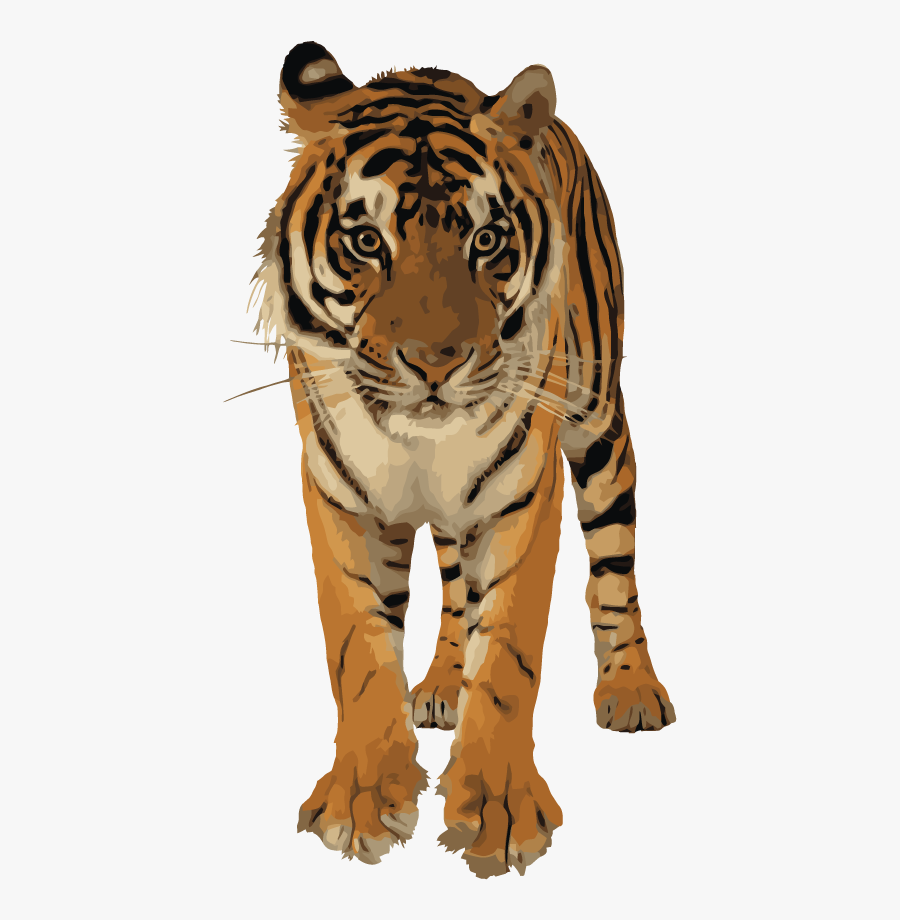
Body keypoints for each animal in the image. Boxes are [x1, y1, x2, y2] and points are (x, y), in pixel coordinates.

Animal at [247, 41, 676, 878]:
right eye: (366, 241)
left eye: (486, 241)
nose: (435, 362)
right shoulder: (340, 495)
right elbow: (358, 649)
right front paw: (360, 803)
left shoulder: (524, 492)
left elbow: (509, 653)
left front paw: (501, 816)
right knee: (452, 585)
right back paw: (444, 684)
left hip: (598, 424)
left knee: (615, 564)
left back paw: (633, 690)